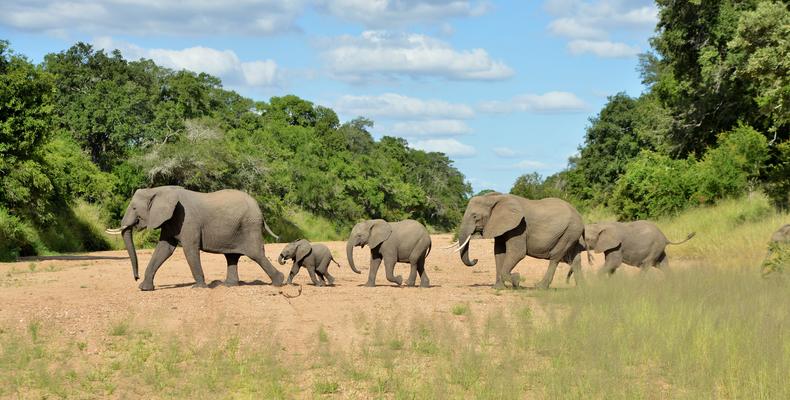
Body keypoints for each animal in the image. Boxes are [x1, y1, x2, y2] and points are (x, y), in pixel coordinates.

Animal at [105, 184, 284, 290]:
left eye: (134, 208)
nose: (136, 278)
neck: (159, 190)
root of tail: (259, 210)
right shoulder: (171, 220)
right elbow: (164, 249)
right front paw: (144, 288)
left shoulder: (187, 220)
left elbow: (190, 249)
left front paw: (199, 288)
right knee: (231, 256)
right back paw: (228, 285)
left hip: (249, 226)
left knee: (256, 254)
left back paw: (278, 282)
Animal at [452, 192, 588, 290]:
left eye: (475, 216)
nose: (475, 260)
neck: (496, 198)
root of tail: (580, 216)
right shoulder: (502, 227)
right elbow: (499, 253)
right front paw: (498, 288)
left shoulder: (519, 227)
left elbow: (517, 253)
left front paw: (516, 280)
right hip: (572, 233)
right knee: (574, 259)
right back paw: (582, 289)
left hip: (570, 231)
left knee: (555, 257)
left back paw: (540, 287)